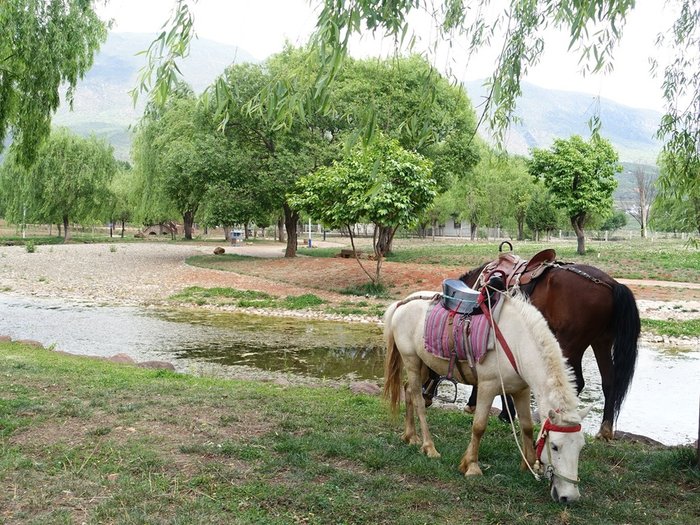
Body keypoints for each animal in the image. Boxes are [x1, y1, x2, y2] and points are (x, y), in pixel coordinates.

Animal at [382, 292, 592, 502]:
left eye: (581, 447)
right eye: (555, 446)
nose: (569, 497)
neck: (516, 343)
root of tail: (404, 302)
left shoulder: (521, 391)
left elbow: (527, 427)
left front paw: (528, 464)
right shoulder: (487, 387)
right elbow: (479, 426)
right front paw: (472, 466)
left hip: (424, 364)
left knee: (409, 391)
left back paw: (411, 436)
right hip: (411, 361)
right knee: (418, 400)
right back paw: (429, 447)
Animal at [460, 256, 640, 436]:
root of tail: (611, 284)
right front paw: (505, 412)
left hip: (571, 345)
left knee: (577, 381)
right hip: (601, 342)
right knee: (609, 381)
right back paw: (605, 429)